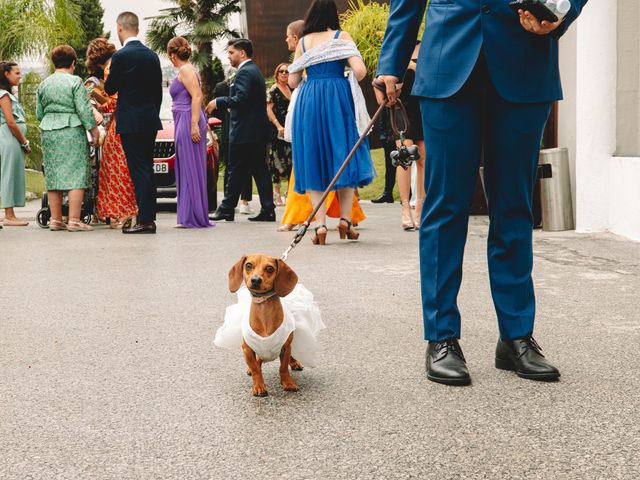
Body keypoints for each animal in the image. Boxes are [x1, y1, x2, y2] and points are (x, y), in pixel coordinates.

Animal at [230, 253, 304, 396]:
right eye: (248, 265)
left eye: (270, 268)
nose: (255, 280)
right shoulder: (247, 349)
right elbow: (256, 369)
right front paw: (259, 386)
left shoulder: (286, 347)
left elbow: (283, 368)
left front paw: (288, 383)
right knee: (257, 362)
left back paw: (294, 363)